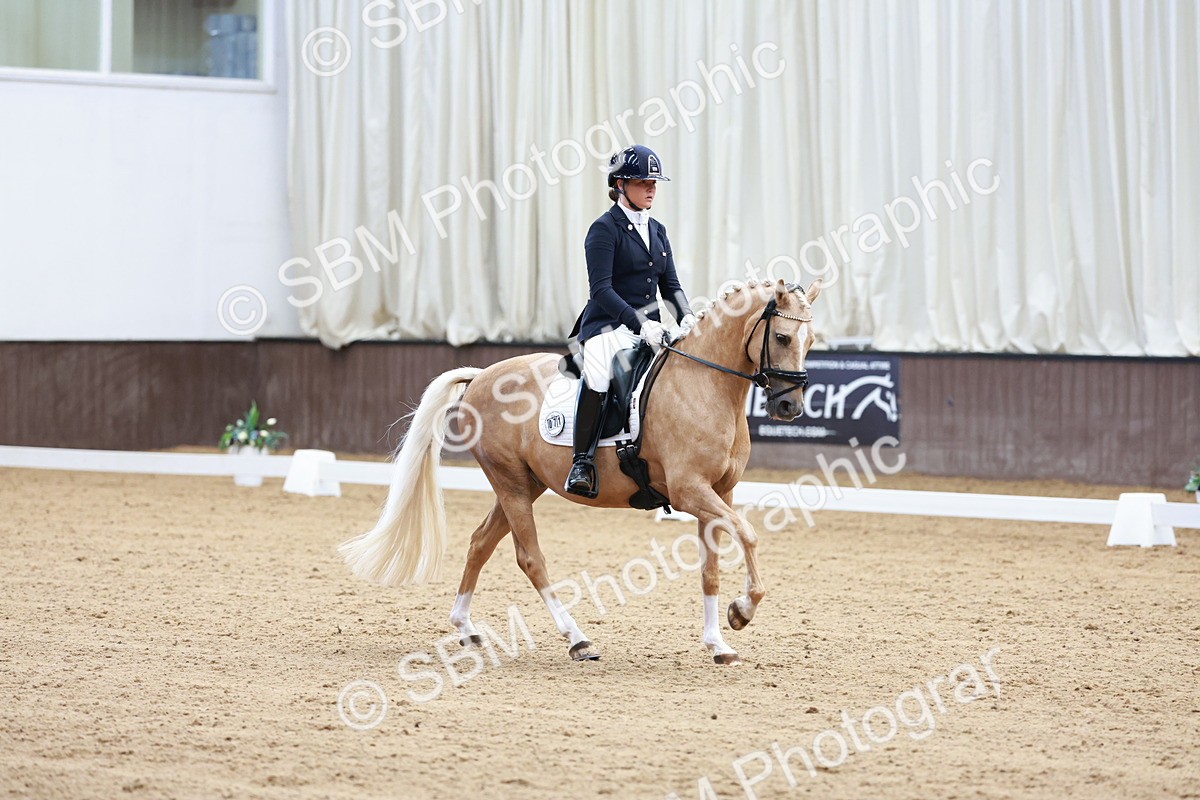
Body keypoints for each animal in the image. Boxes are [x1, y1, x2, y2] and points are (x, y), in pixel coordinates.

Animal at [338, 277, 823, 665]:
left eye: (812, 341)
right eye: (782, 337)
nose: (789, 407)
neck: (703, 384)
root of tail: (480, 376)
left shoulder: (721, 492)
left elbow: (711, 566)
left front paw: (719, 642)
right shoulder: (690, 491)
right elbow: (749, 535)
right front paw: (743, 612)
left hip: (525, 483)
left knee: (480, 542)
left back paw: (466, 629)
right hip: (510, 483)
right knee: (530, 558)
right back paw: (577, 639)